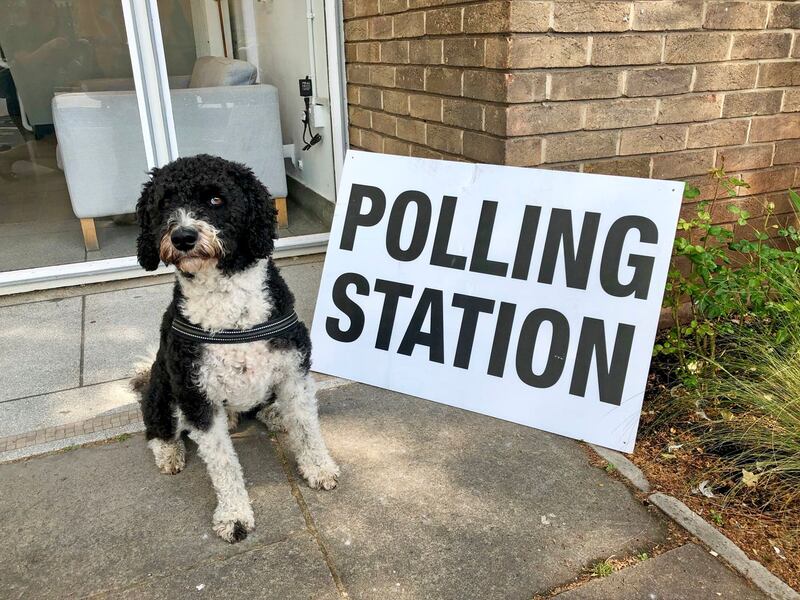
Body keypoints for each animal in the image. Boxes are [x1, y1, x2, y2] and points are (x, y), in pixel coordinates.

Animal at [131, 155, 338, 544]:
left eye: (216, 199)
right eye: (164, 202)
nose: (183, 236)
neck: (230, 310)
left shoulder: (294, 371)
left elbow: (306, 427)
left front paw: (319, 468)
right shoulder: (196, 397)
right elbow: (223, 464)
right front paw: (234, 515)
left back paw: (273, 414)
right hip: (163, 391)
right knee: (157, 427)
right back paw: (169, 452)